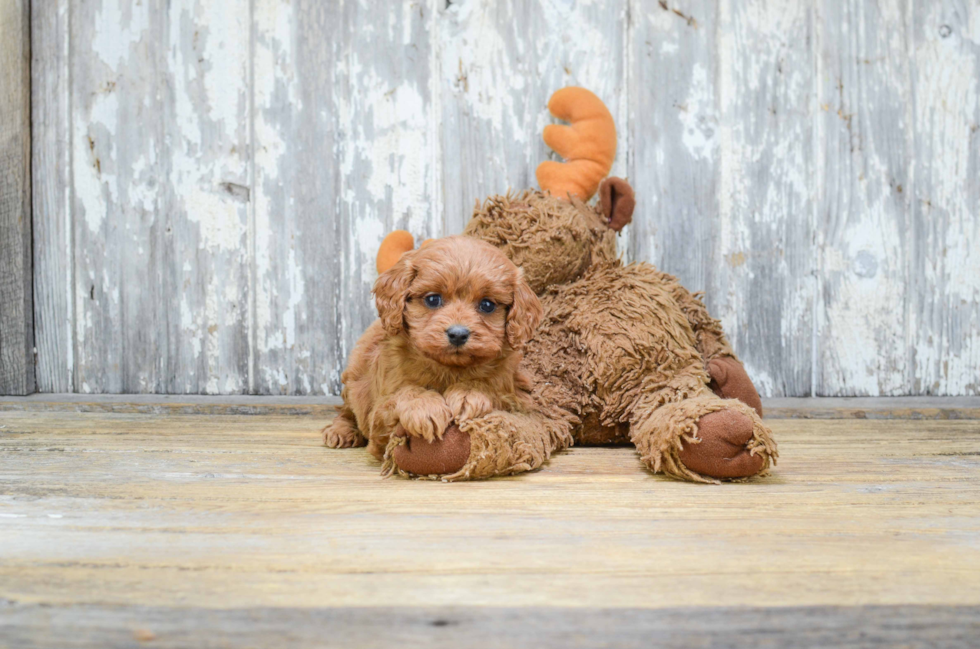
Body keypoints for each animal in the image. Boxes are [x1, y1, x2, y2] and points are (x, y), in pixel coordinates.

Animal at [322, 235, 540, 468]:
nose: (458, 334)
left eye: (487, 305)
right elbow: (404, 393)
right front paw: (424, 407)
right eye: (433, 299)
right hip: (353, 378)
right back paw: (340, 431)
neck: (448, 368)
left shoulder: (520, 398)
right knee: (346, 411)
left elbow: (495, 389)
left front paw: (469, 393)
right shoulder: (379, 416)